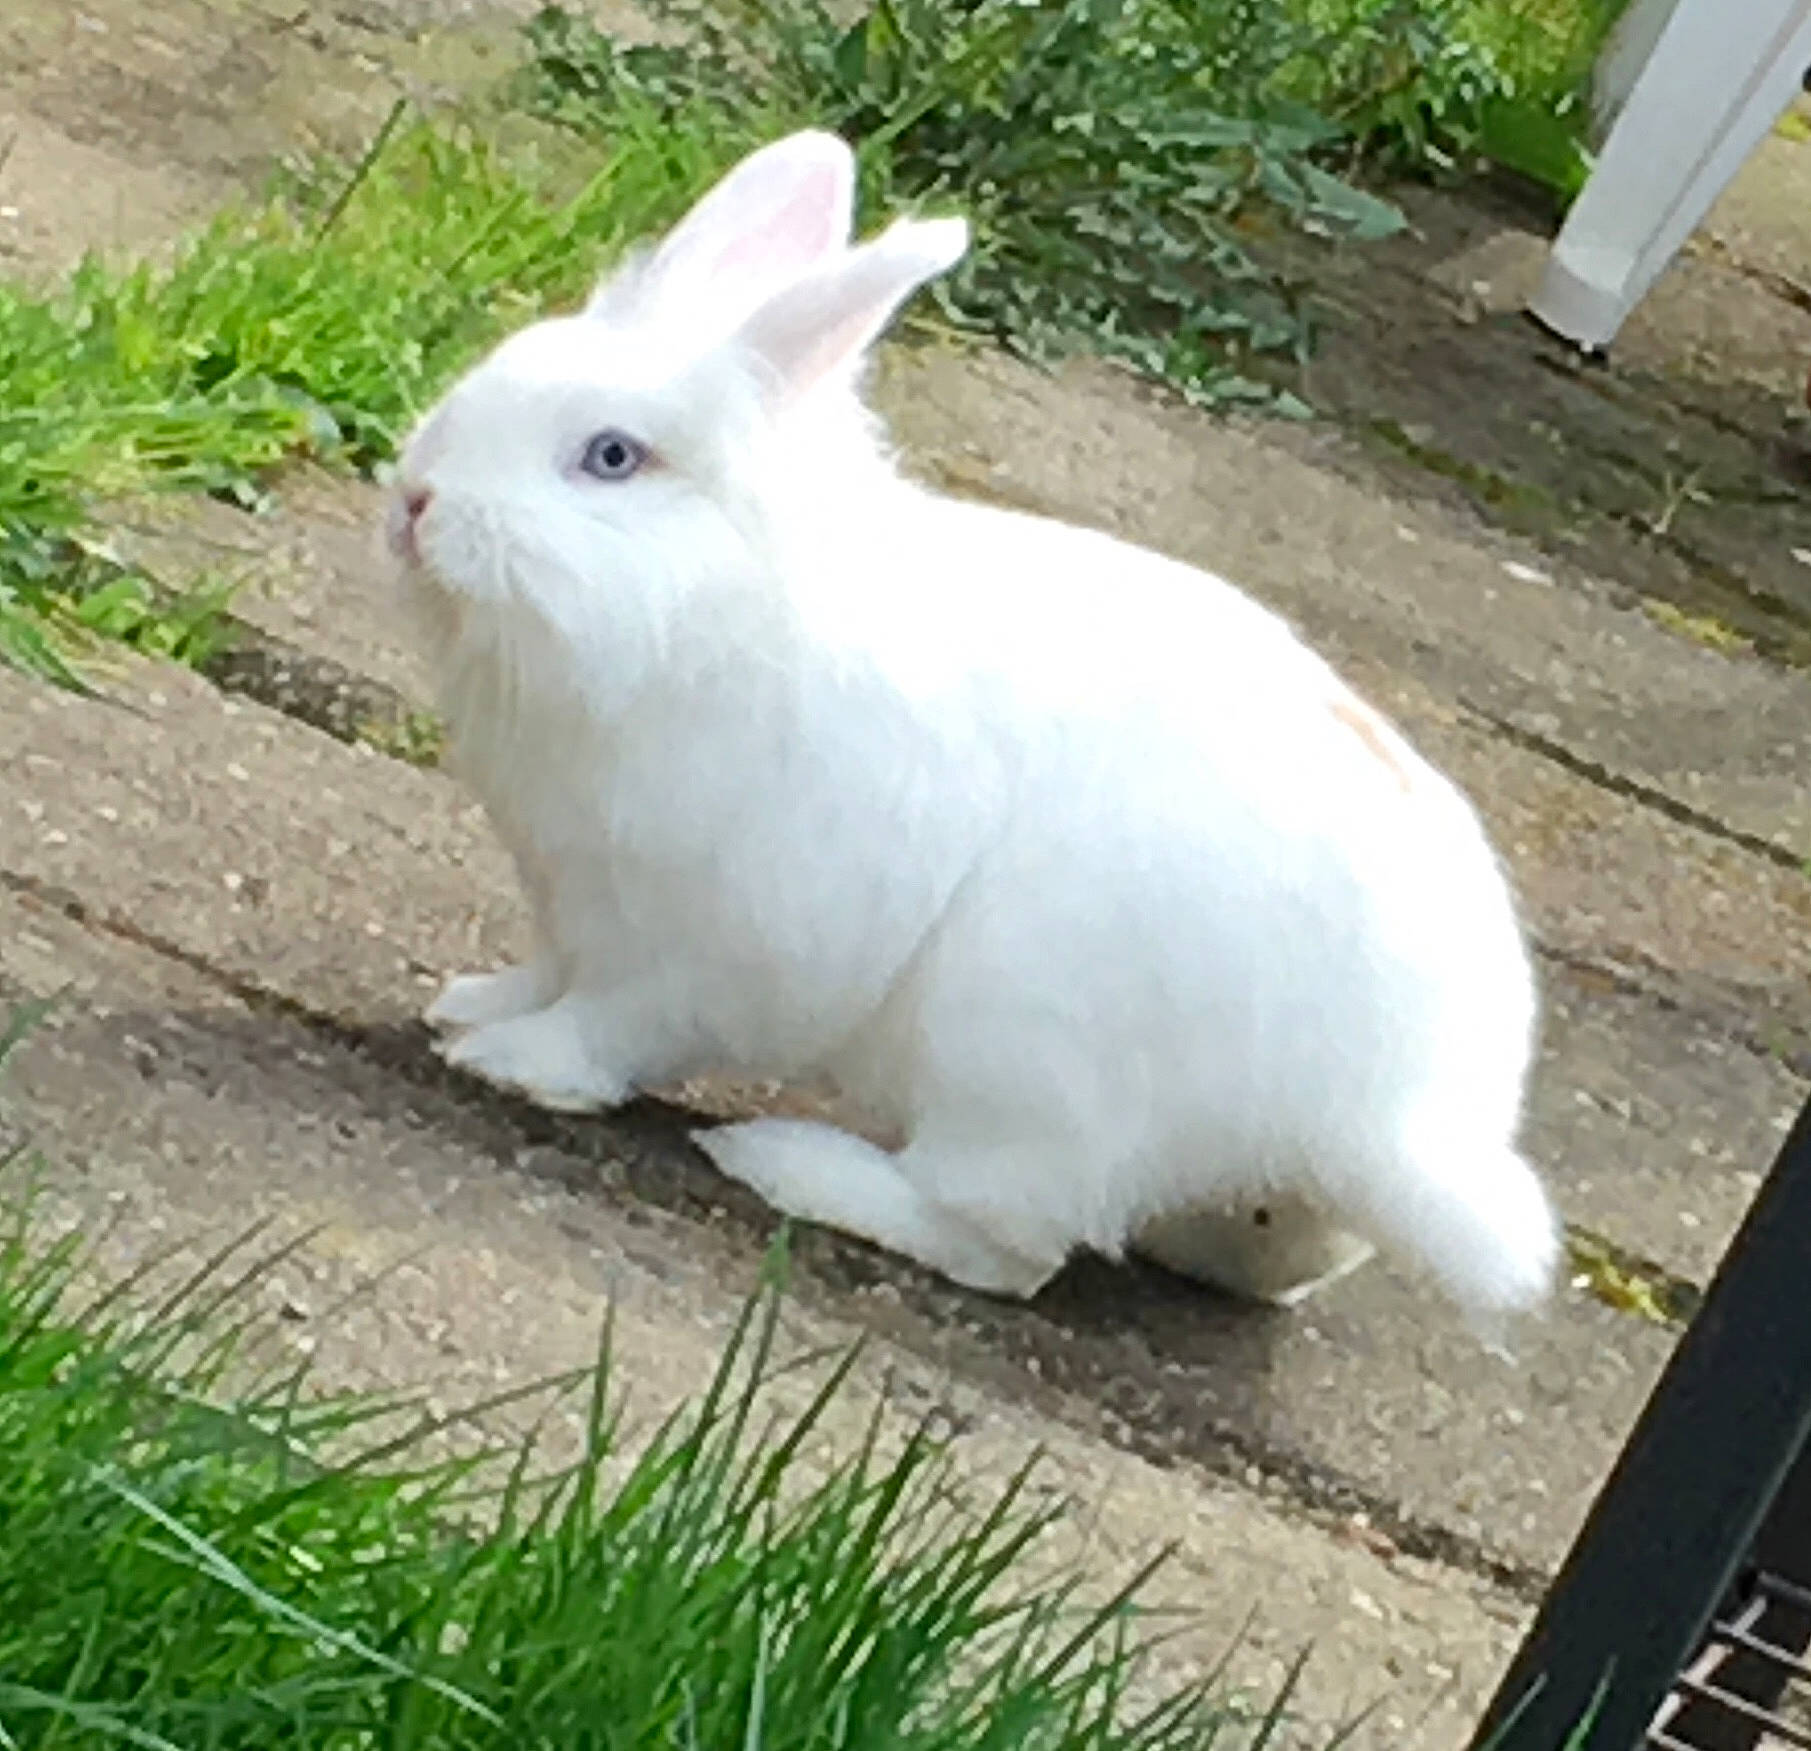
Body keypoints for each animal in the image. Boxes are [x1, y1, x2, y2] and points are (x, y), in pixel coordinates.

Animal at [388, 129, 1559, 1328]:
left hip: (1016, 1056)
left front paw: (514, 1060)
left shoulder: (714, 940)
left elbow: (615, 1024)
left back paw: (783, 1161)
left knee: (1001, 1242)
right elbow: (546, 973)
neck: (712, 611)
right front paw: (467, 1004)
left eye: (611, 457)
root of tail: (1395, 1119)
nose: (415, 498)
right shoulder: (572, 905)